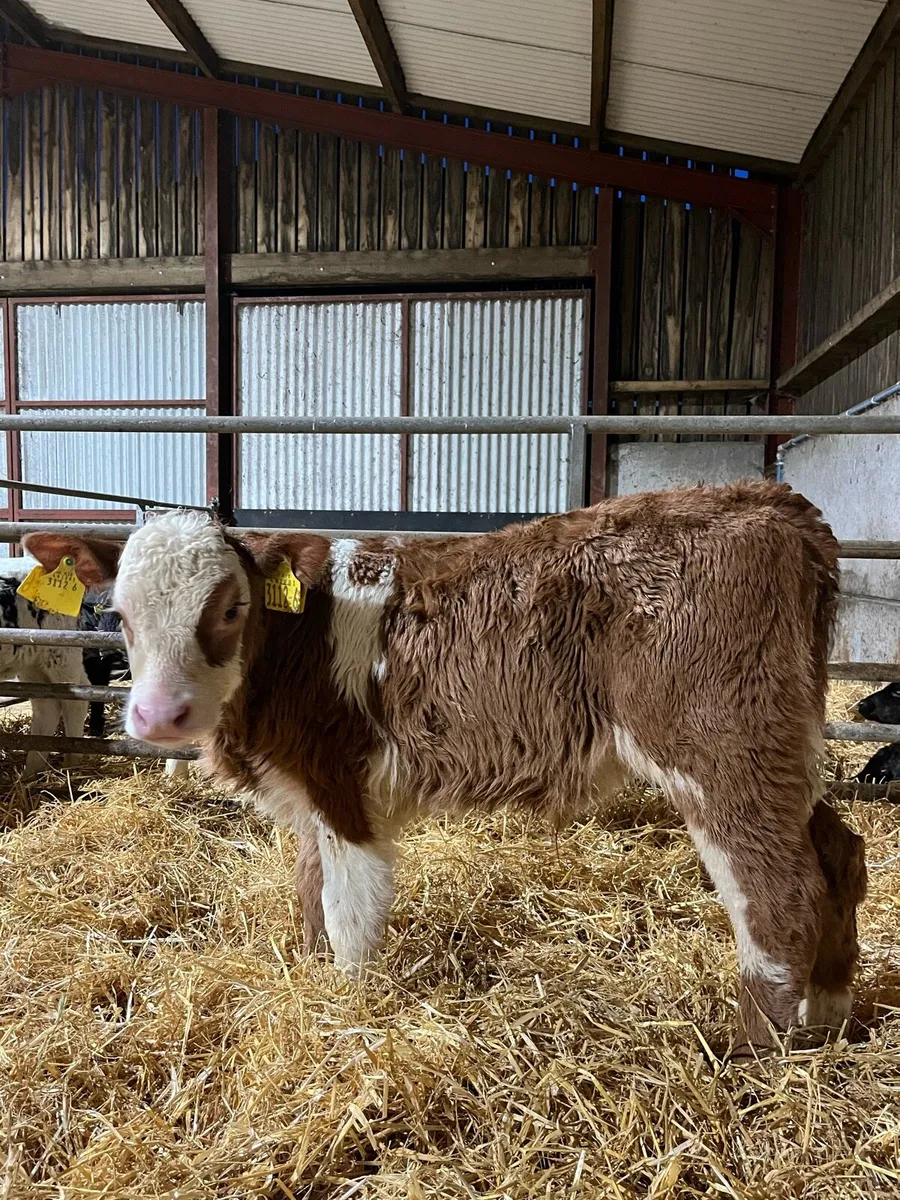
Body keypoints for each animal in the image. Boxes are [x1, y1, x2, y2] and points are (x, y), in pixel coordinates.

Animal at [22, 481, 867, 1052]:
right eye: (118, 614)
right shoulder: (307, 795)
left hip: (720, 750)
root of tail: (767, 498)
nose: (157, 716)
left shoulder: (341, 782)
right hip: (779, 747)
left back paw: (755, 1050)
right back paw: (828, 1013)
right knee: (837, 855)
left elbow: (347, 917)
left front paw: (347, 1015)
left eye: (230, 608)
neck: (293, 643)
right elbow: (308, 901)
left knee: (775, 891)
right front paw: (312, 983)